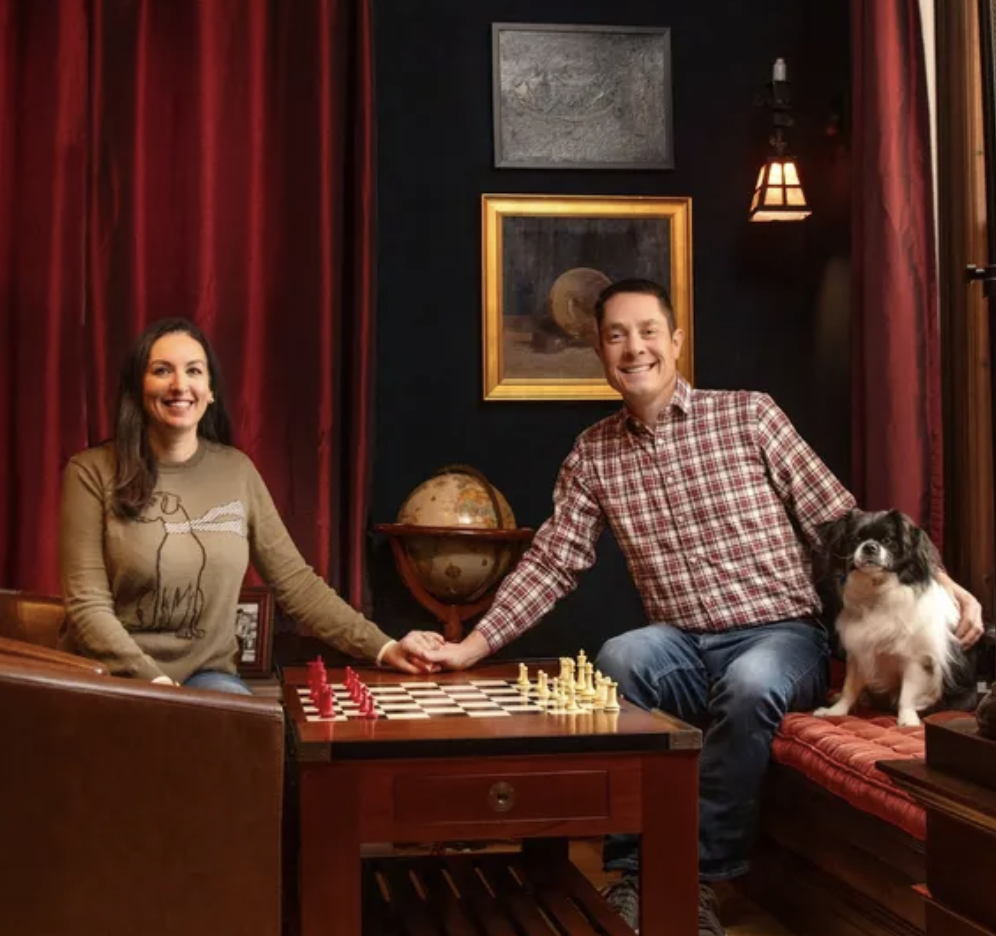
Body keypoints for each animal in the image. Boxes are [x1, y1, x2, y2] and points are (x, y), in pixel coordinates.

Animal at [812, 508, 968, 728]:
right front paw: (837, 711)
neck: (876, 589)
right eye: (855, 539)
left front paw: (907, 720)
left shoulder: (915, 659)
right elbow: (849, 687)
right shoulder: (858, 653)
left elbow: (907, 694)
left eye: (887, 540)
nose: (869, 546)